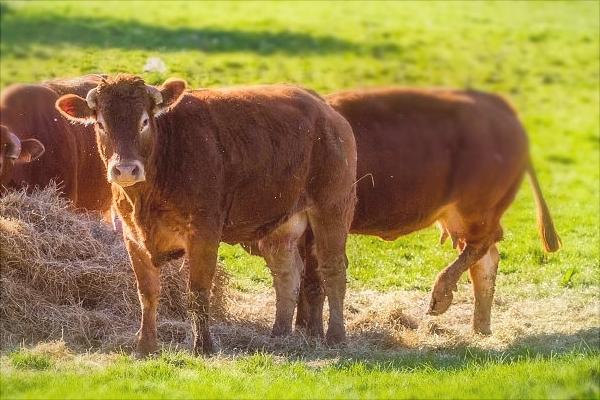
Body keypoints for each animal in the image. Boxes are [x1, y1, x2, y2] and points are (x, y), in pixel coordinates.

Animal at [55, 73, 356, 354]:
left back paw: (336, 337)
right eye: (101, 124)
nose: (126, 169)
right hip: (281, 227)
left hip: (332, 208)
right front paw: (145, 346)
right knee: (287, 274)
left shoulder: (204, 233)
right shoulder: (132, 237)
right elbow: (147, 293)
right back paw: (279, 335)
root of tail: (326, 112)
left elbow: (198, 291)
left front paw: (203, 346)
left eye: (144, 121)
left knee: (332, 269)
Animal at [298, 88, 560, 338]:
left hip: (477, 210)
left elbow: (314, 280)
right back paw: (480, 327)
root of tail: (494, 103)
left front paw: (313, 332)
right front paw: (302, 328)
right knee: (486, 258)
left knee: (482, 245)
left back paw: (441, 296)